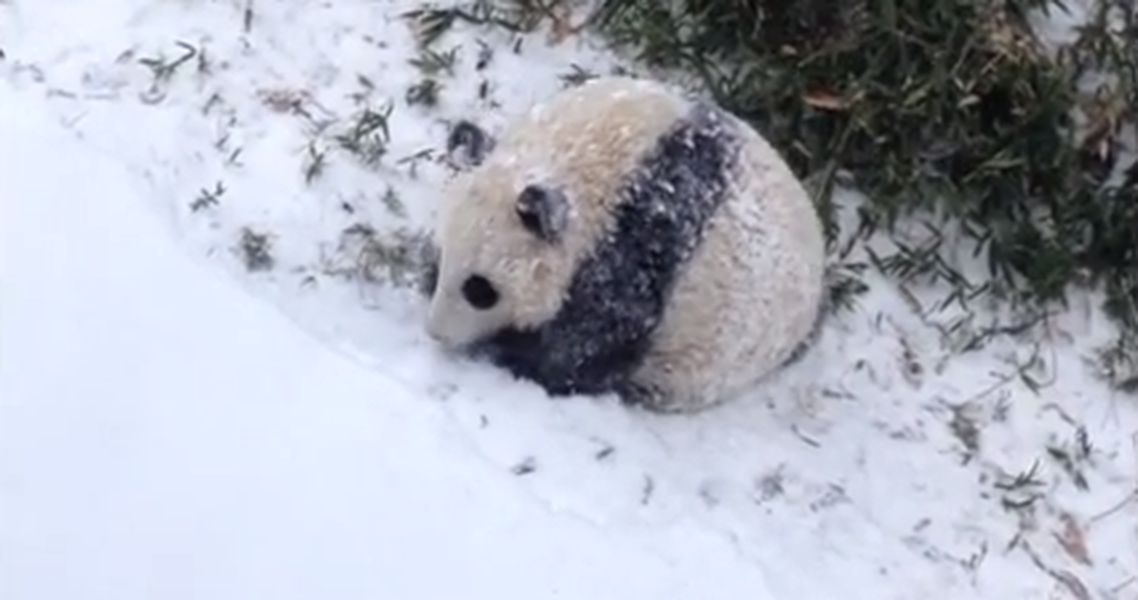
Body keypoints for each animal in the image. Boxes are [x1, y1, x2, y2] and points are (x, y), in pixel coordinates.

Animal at [418, 74, 828, 414]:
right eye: (442, 258)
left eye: (480, 290)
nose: (437, 333)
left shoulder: (641, 247)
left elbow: (589, 343)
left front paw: (518, 356)